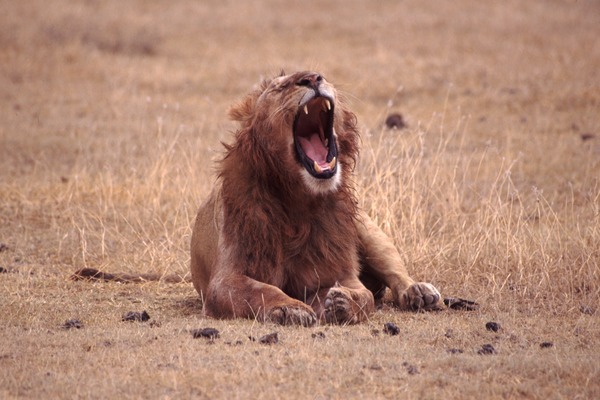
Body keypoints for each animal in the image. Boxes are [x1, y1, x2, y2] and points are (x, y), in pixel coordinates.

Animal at [190, 71, 442, 324]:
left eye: (321, 76)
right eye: (279, 88)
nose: (311, 78)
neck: (299, 200)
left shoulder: (339, 270)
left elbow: (365, 296)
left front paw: (343, 302)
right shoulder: (224, 280)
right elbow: (260, 290)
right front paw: (290, 308)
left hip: (368, 231)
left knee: (395, 272)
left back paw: (420, 292)